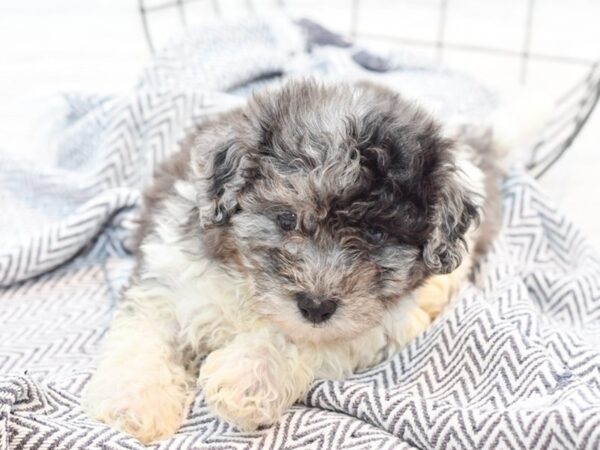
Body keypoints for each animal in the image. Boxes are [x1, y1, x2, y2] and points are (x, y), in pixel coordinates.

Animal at [82, 78, 500, 442]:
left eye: (376, 234)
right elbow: (146, 334)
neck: (250, 287)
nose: (316, 306)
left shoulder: (378, 325)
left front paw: (246, 379)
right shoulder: (168, 278)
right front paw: (134, 404)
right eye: (286, 219)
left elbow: (296, 338)